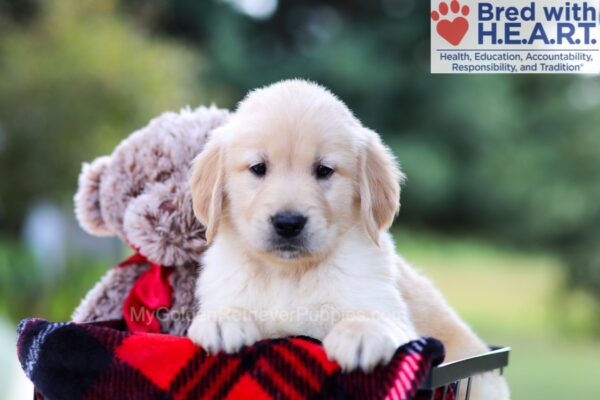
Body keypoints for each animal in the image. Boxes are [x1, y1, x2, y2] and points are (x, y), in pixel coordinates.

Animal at [189, 79, 510, 398]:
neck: (290, 274)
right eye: (258, 168)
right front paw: (222, 319)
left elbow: (372, 315)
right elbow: (229, 306)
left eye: (324, 170)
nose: (288, 223)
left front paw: (361, 333)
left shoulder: (389, 310)